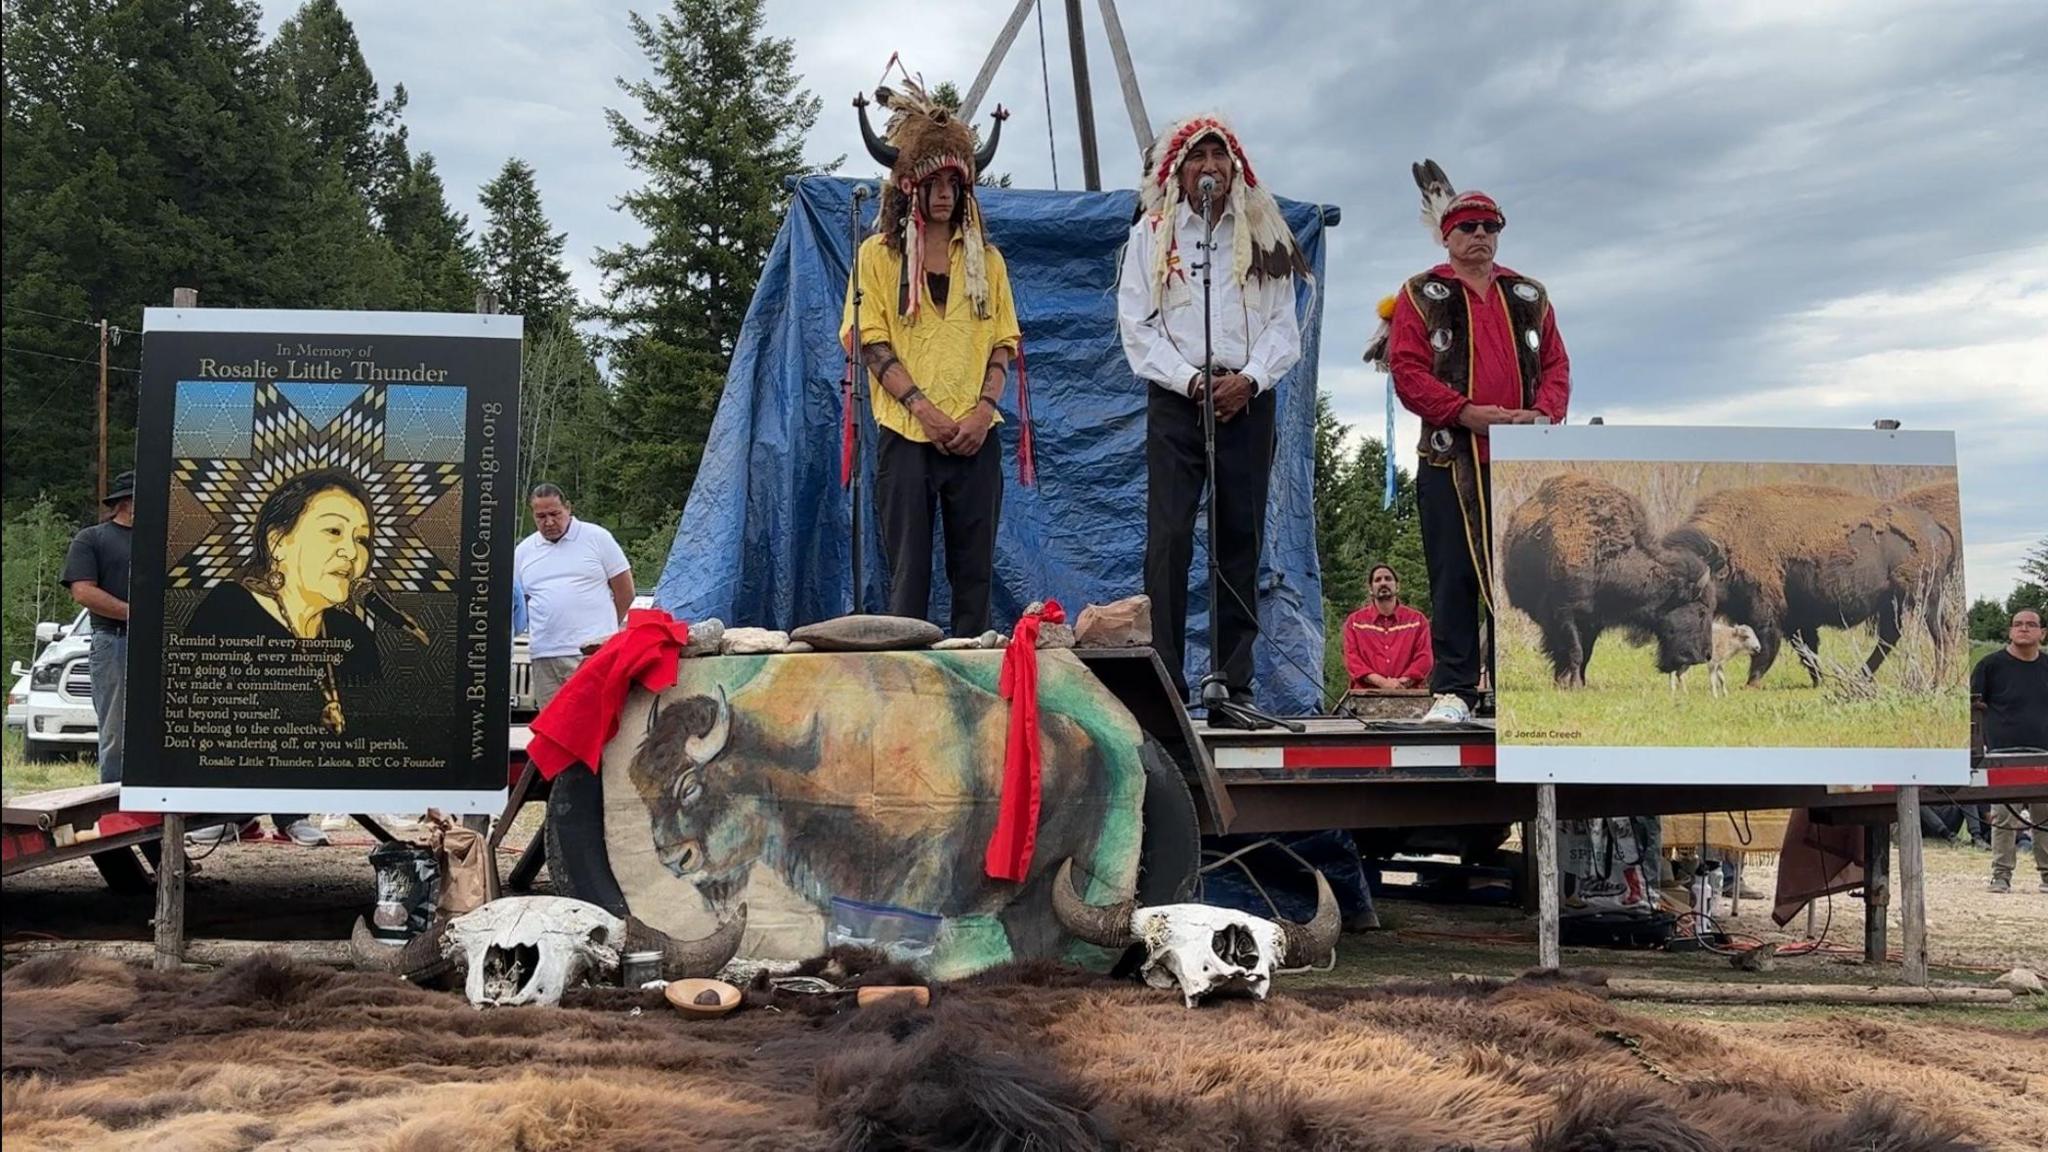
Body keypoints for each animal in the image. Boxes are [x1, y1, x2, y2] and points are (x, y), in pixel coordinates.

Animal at [1507, 473, 1712, 684]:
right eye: (1701, 612)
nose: (1705, 655)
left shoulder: (1593, 622)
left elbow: (1586, 654)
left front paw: (1580, 683)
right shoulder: (1566, 614)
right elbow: (1575, 651)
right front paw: (1574, 684)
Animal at [1662, 481, 1949, 684]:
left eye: (1695, 594)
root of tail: (1936, 527)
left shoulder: (1768, 611)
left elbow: (1768, 646)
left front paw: (1751, 682)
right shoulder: (1797, 618)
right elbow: (1807, 650)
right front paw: (1818, 681)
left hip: (1925, 599)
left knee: (1939, 635)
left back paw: (1936, 682)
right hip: (1892, 605)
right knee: (1890, 637)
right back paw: (1861, 677)